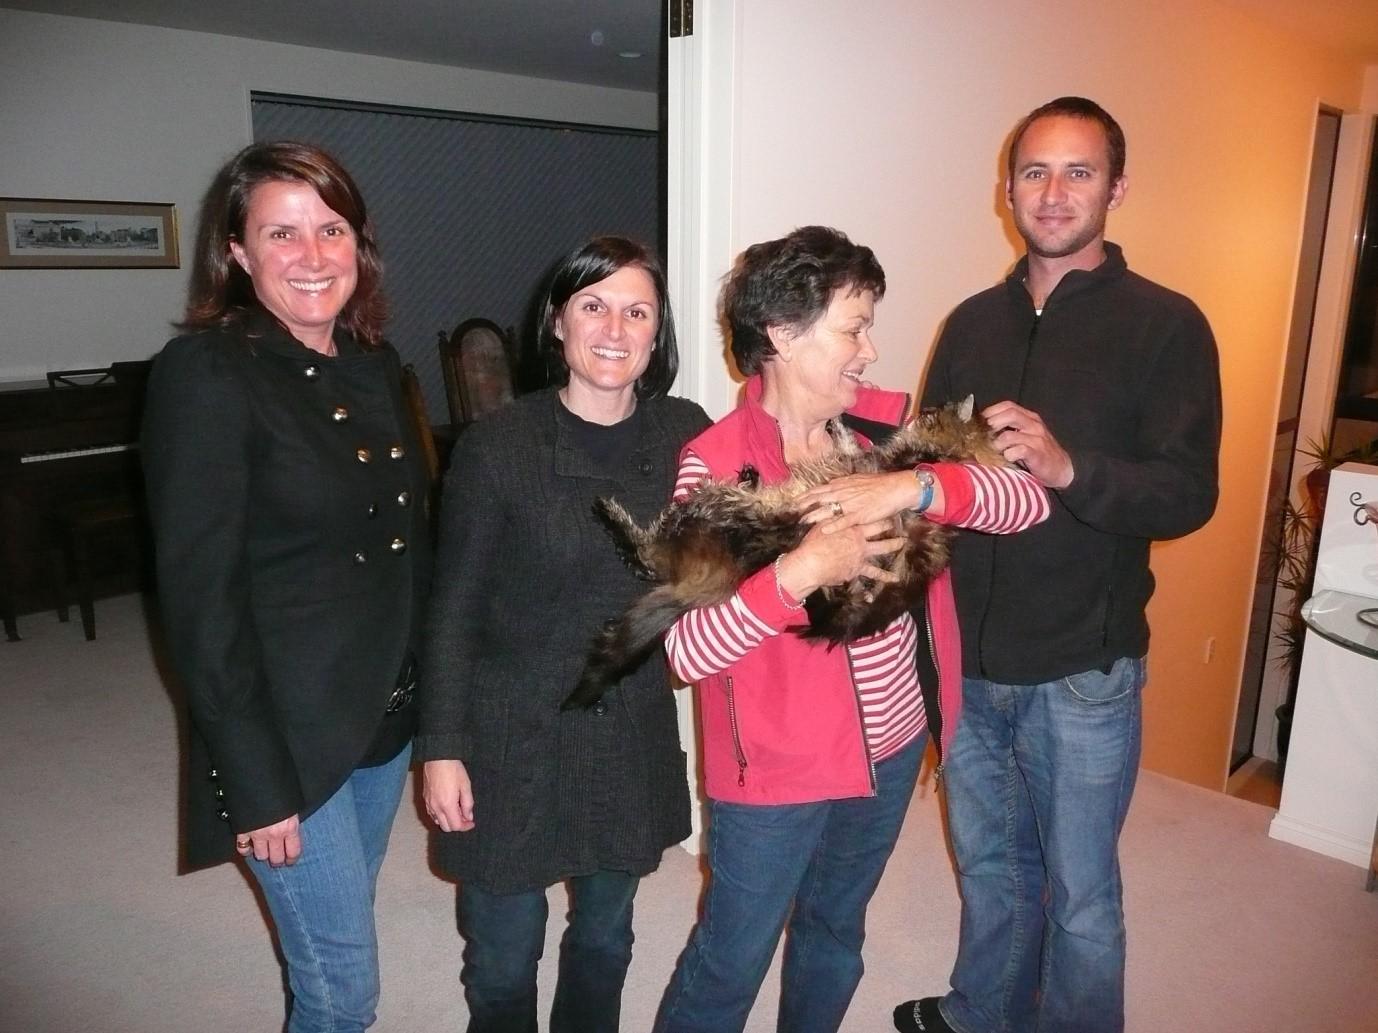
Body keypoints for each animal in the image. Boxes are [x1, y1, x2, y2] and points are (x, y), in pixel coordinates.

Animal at [564, 396, 1008, 710]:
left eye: (932, 412)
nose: (918, 412)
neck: (947, 451)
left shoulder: (873, 465)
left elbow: (852, 449)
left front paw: (840, 427)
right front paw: (840, 423)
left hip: (718, 508)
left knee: (647, 554)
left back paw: (617, 515)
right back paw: (748, 477)